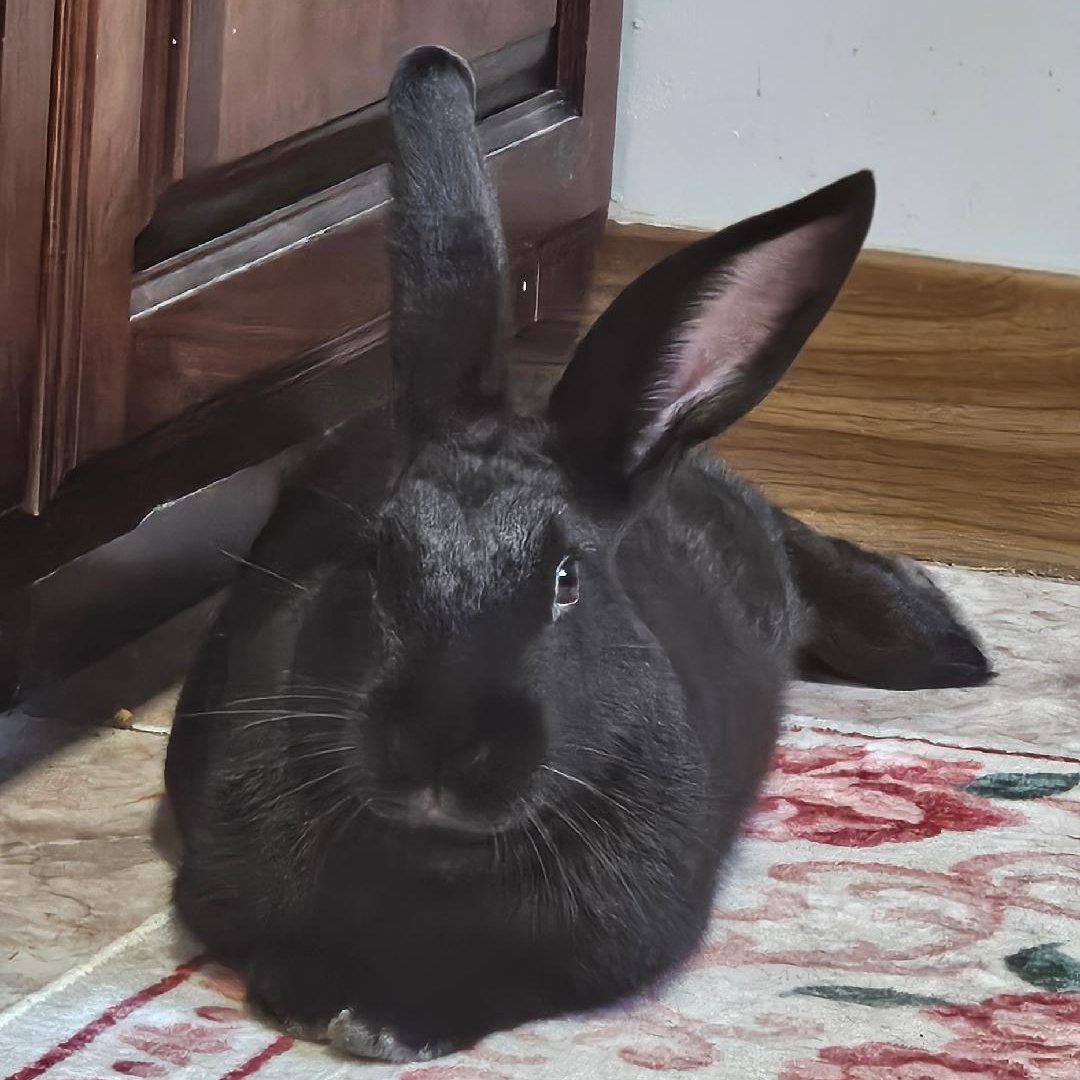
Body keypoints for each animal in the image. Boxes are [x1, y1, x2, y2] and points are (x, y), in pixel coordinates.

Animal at [164, 45, 990, 1062]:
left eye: (567, 580)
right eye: (376, 558)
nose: (438, 749)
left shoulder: (610, 946)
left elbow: (492, 985)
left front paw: (386, 1022)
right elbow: (273, 949)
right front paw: (317, 999)